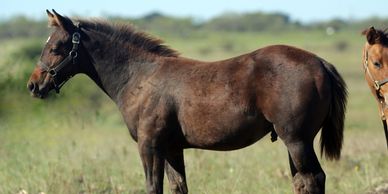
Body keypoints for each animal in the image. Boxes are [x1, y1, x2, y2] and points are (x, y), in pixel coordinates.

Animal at [28, 10, 348, 194]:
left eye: (56, 47)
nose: (33, 85)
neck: (139, 76)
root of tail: (320, 62)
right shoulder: (171, 148)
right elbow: (178, 187)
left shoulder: (149, 145)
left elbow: (153, 188)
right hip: (292, 141)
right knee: (303, 182)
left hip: (296, 139)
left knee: (314, 179)